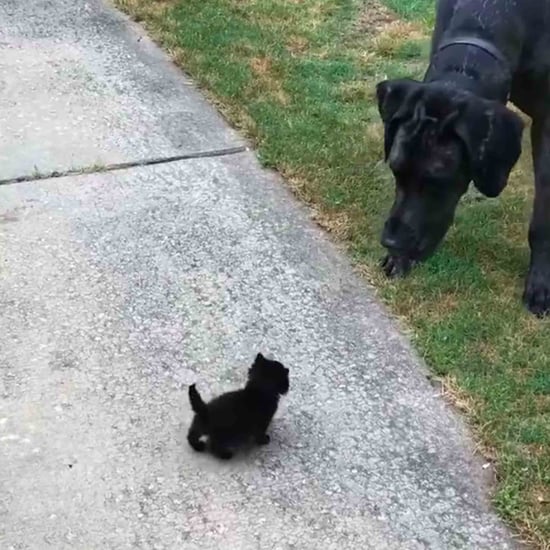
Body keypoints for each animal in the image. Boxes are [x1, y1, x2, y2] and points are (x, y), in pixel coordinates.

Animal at [380, 0, 550, 316]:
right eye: (396, 171)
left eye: (437, 181)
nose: (391, 242)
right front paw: (399, 260)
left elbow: (543, 217)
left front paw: (541, 282)